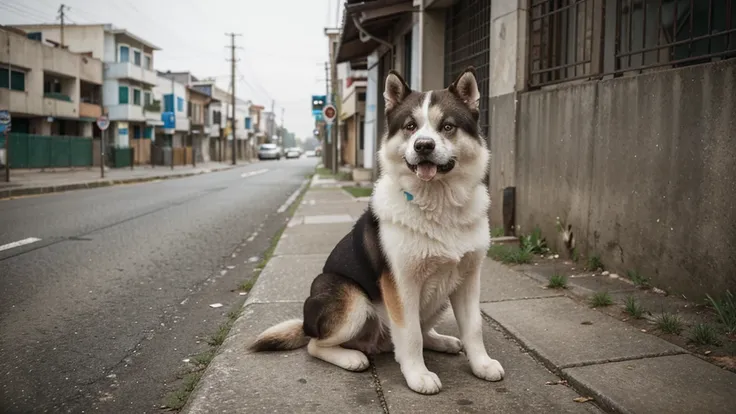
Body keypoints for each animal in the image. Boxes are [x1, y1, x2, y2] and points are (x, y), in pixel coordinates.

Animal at [250, 66, 504, 392]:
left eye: (447, 126)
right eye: (410, 126)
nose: (423, 146)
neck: (437, 204)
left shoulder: (469, 279)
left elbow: (473, 327)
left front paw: (481, 364)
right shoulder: (401, 285)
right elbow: (410, 334)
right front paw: (417, 374)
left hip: (439, 299)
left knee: (423, 330)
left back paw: (441, 341)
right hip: (347, 296)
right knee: (315, 345)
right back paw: (351, 358)